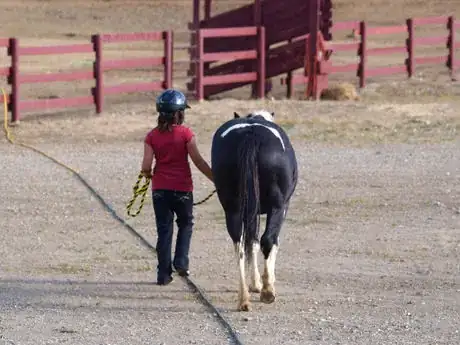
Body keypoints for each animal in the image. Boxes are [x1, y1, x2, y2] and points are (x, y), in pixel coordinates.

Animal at [211, 109, 298, 310]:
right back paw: (267, 292)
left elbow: (252, 243)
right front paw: (265, 282)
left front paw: (255, 283)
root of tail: (251, 135)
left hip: (234, 210)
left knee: (240, 245)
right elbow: (270, 242)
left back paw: (244, 298)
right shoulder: (282, 207)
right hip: (277, 206)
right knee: (268, 240)